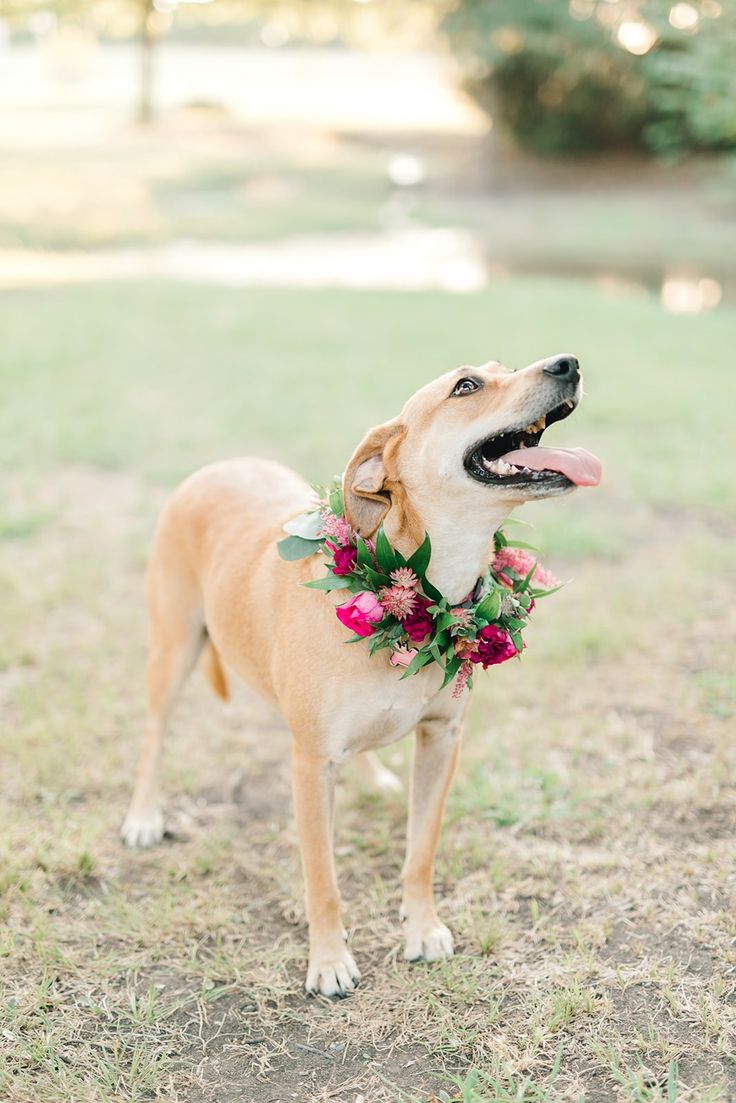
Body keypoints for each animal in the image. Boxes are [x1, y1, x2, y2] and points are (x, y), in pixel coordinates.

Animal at [123, 355, 600, 1001]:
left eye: (505, 367)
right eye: (467, 386)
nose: (567, 363)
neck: (423, 593)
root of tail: (223, 464)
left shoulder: (441, 740)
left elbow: (420, 851)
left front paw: (421, 929)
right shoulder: (310, 764)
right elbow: (322, 878)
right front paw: (328, 961)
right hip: (173, 650)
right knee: (154, 735)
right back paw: (144, 816)